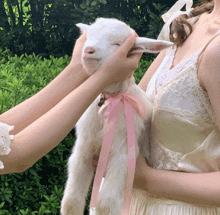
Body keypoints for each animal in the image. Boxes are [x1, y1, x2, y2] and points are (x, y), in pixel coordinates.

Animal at [60, 18, 174, 215]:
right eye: (89, 36)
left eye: (117, 44)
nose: (88, 50)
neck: (109, 101)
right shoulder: (83, 149)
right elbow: (70, 202)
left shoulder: (123, 153)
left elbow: (106, 204)